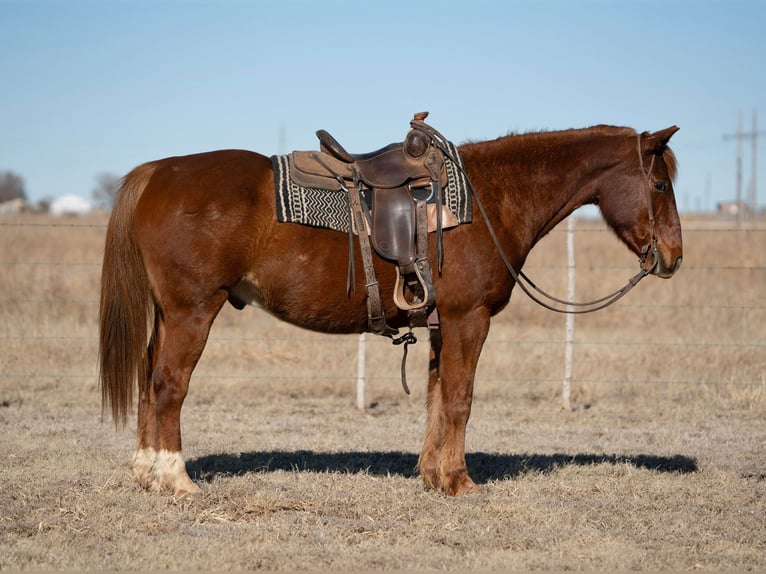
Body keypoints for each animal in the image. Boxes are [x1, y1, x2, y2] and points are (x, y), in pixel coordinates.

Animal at [97, 122, 684, 500]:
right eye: (659, 183)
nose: (674, 256)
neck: (489, 200)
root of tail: (156, 172)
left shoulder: (443, 325)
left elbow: (435, 397)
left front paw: (431, 474)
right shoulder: (469, 319)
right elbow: (460, 400)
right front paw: (460, 482)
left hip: (168, 315)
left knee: (149, 379)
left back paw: (145, 472)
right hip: (194, 311)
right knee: (169, 385)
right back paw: (176, 479)